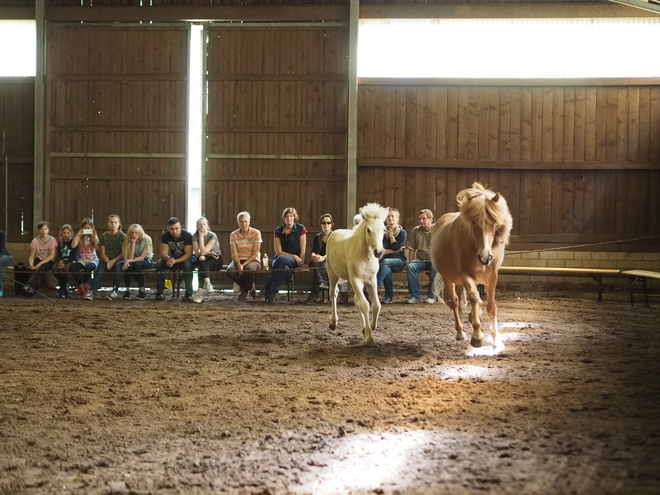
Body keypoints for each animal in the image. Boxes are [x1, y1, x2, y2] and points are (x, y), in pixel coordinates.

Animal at [326, 202, 390, 344]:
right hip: (333, 275)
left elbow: (376, 305)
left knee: (356, 300)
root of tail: (334, 233)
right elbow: (365, 304)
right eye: (368, 230)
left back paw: (363, 327)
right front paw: (369, 336)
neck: (365, 255)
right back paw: (333, 322)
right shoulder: (356, 279)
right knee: (333, 293)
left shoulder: (371, 280)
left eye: (384, 230)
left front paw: (371, 327)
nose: (379, 252)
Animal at [430, 184, 512, 350]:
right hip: (448, 278)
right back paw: (461, 332)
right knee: (455, 302)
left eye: (494, 223)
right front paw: (477, 336)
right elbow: (475, 299)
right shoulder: (466, 275)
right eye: (474, 222)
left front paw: (496, 339)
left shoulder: (493, 276)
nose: (485, 257)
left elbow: (491, 307)